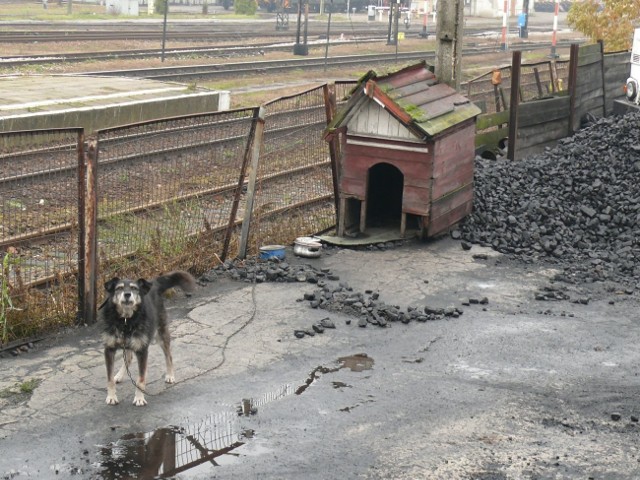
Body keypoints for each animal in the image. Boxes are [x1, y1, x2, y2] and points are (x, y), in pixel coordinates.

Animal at [99, 270, 195, 404]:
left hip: (161, 335)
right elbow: (109, 379)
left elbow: (140, 379)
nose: (127, 294)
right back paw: (118, 375)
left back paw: (170, 375)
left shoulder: (142, 349)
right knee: (129, 358)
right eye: (119, 288)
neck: (125, 320)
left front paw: (139, 398)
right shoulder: (109, 349)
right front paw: (111, 397)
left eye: (134, 288)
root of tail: (154, 284)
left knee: (168, 356)